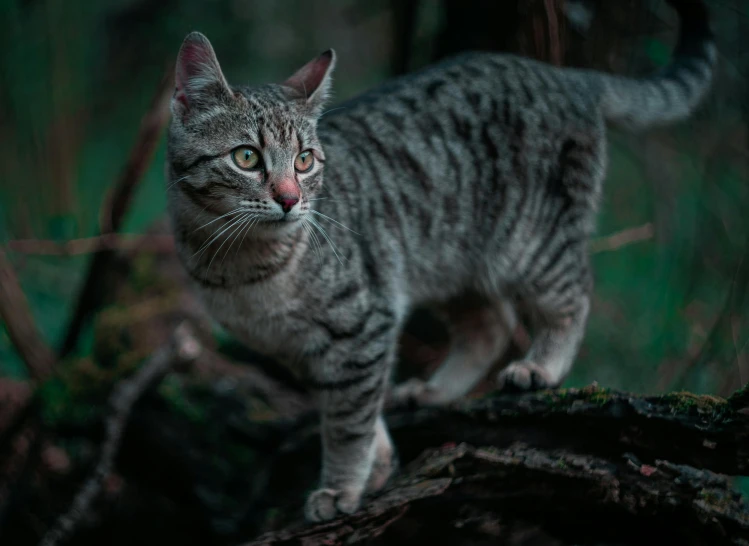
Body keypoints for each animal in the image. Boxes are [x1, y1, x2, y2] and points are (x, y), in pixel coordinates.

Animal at [167, 0, 716, 520]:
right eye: (246, 157)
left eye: (304, 161)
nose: (289, 199)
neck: (242, 268)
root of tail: (565, 76)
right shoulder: (305, 349)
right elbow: (350, 406)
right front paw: (377, 463)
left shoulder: (364, 322)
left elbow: (348, 422)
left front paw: (343, 486)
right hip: (451, 263)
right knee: (490, 323)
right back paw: (435, 392)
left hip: (532, 243)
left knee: (574, 293)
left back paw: (542, 365)